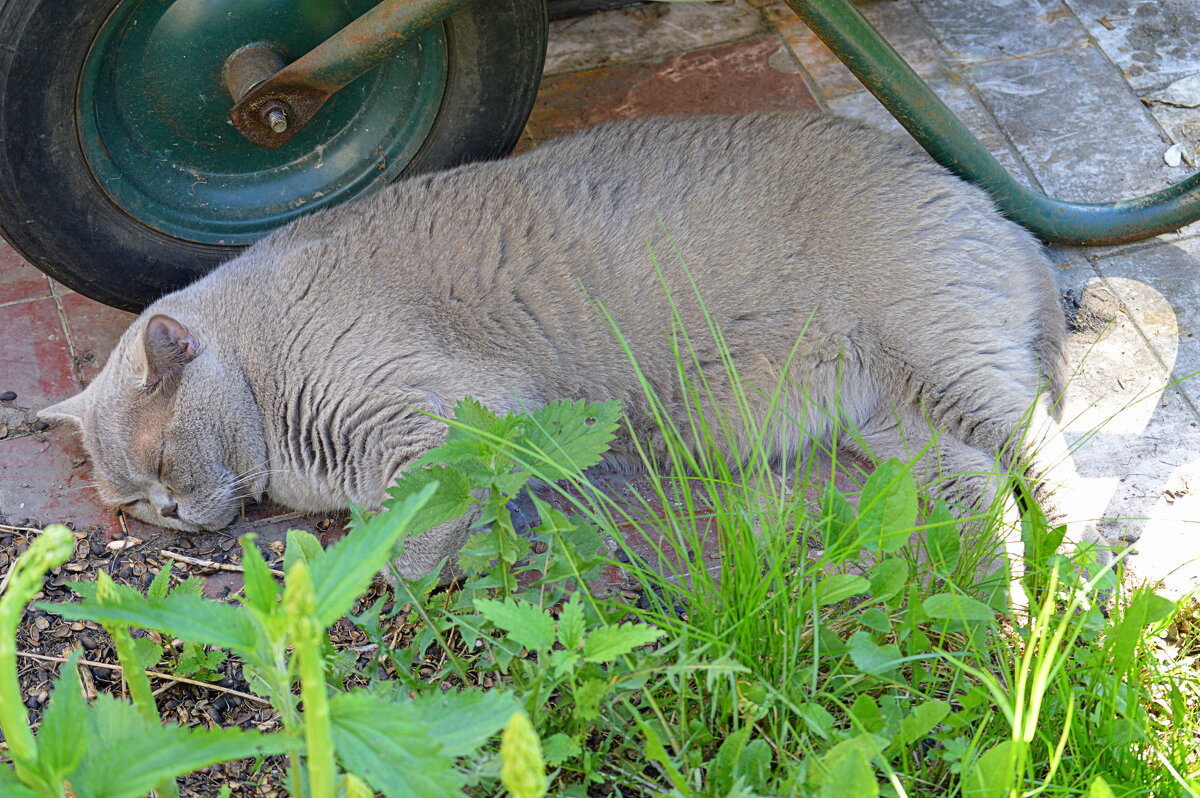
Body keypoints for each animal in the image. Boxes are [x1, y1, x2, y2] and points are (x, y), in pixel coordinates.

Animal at [39, 113, 1089, 573]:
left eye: (159, 463)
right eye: (126, 504)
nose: (171, 516)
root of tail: (983, 202)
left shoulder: (439, 421)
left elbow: (408, 529)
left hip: (943, 351)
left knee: (1055, 462)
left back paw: (1070, 568)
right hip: (892, 422)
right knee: (985, 495)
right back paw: (998, 592)